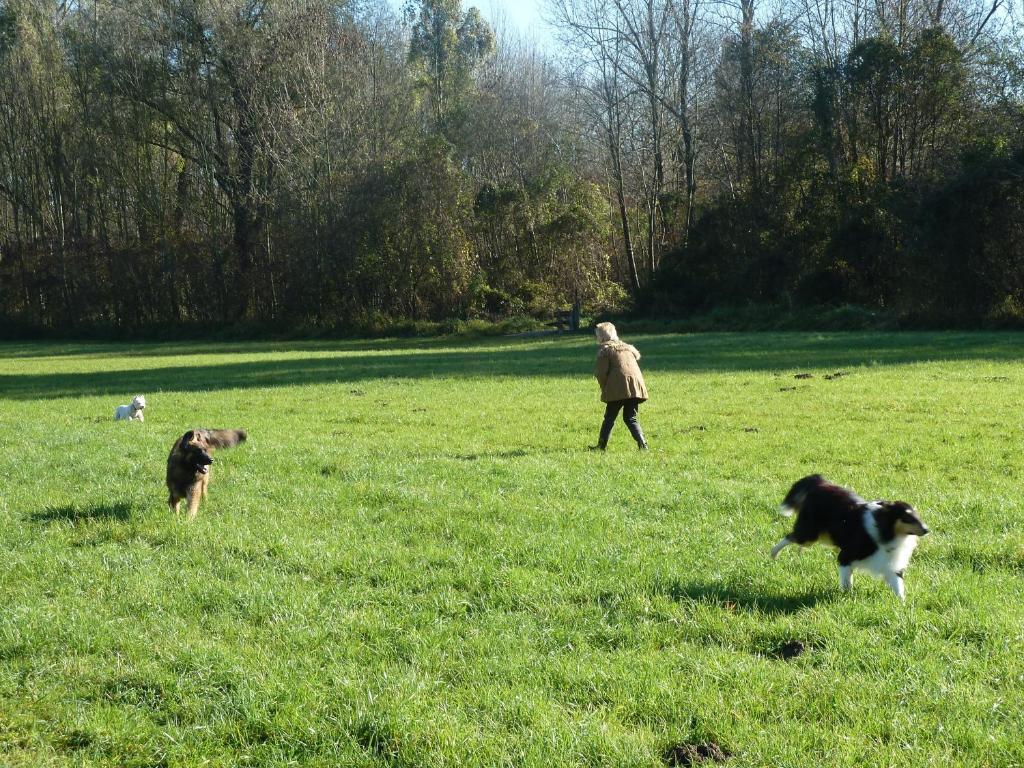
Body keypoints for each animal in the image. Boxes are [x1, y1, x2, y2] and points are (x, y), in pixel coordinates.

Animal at [774, 475, 929, 602]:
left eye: (918, 516)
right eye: (908, 517)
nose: (927, 530)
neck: (885, 531)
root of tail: (820, 483)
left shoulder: (891, 566)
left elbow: (898, 587)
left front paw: (903, 605)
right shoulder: (846, 556)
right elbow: (847, 582)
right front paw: (846, 597)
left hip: (822, 536)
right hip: (809, 534)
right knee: (790, 537)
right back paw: (773, 553)